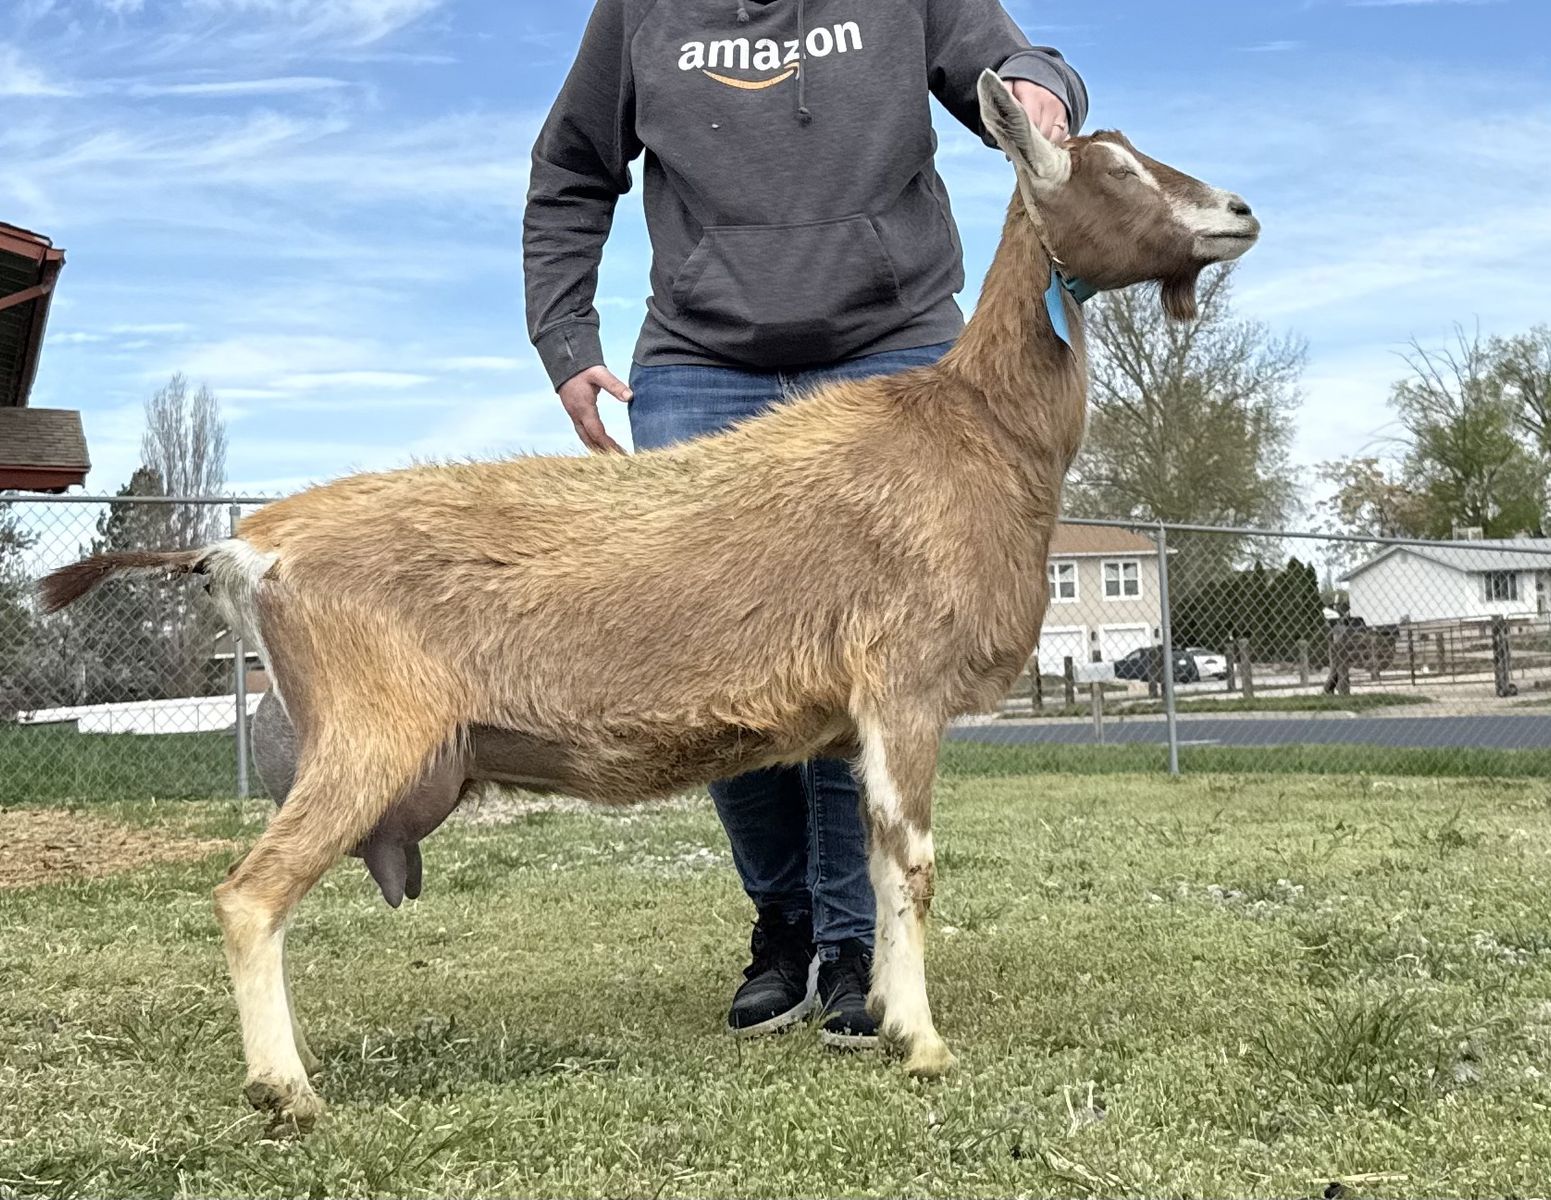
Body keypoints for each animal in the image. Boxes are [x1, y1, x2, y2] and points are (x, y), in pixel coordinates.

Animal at [39, 73, 1259, 1134]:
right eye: (1111, 169)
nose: (1240, 211)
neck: (973, 431)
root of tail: (247, 544)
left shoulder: (860, 716)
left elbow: (871, 863)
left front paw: (879, 1016)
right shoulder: (903, 686)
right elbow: (911, 865)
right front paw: (923, 1043)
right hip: (370, 733)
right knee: (249, 896)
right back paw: (286, 1092)